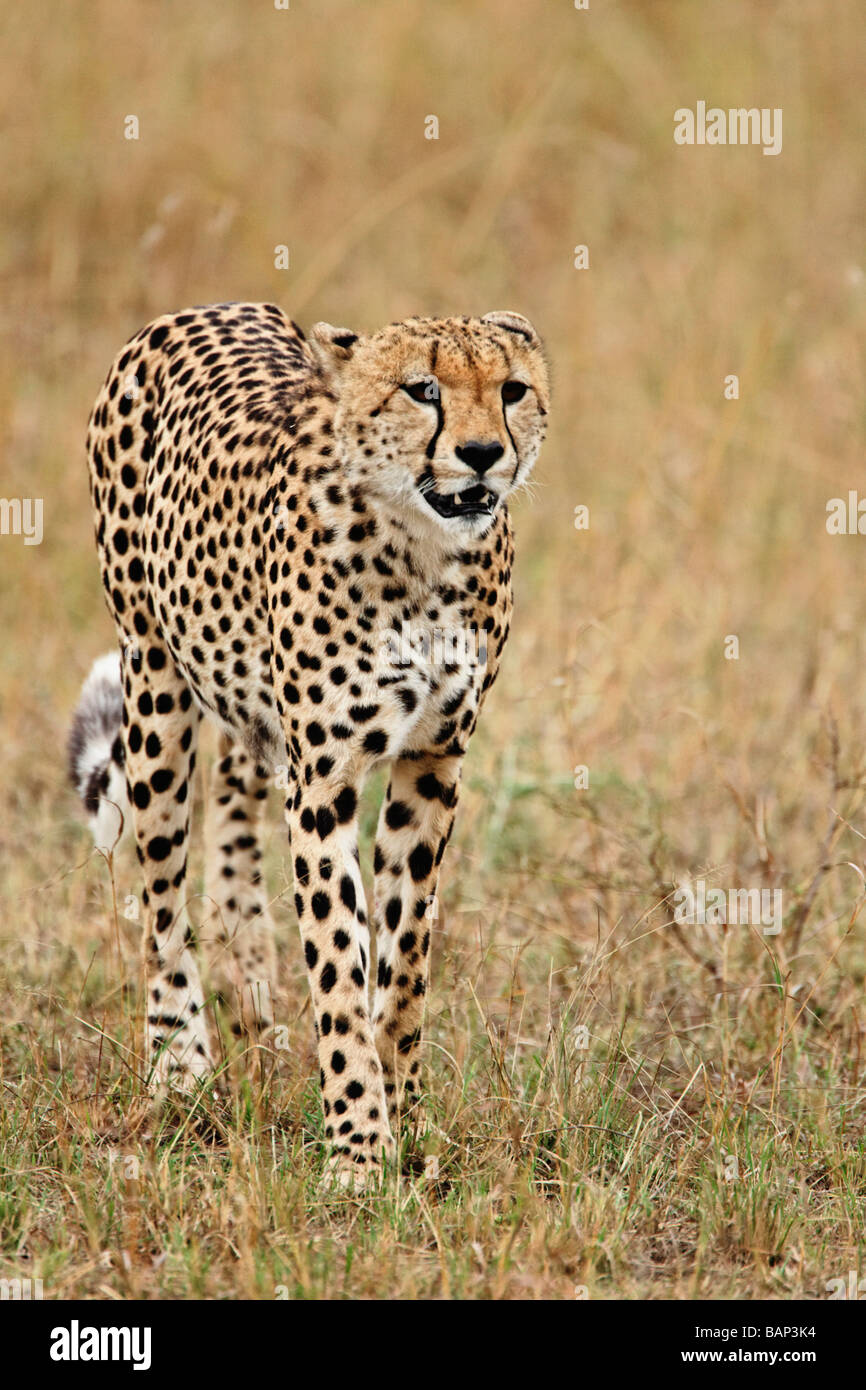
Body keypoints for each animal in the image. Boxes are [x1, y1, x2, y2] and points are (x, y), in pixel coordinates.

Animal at [69, 300, 549, 1187]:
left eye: (512, 389)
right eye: (422, 390)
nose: (482, 455)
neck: (424, 553)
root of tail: (197, 309)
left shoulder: (434, 763)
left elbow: (403, 964)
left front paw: (406, 1120)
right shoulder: (324, 782)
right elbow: (337, 965)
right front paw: (358, 1151)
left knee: (232, 803)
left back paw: (252, 979)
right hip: (153, 683)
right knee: (160, 896)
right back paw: (179, 1066)